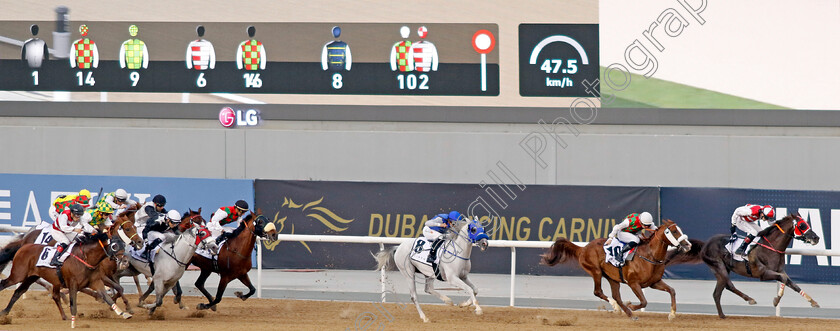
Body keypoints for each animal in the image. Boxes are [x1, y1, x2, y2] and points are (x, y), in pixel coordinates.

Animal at [0, 233, 130, 330]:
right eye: (114, 246)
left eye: (124, 244)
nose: (125, 261)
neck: (86, 258)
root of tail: (23, 247)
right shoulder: (72, 283)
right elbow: (73, 305)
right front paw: (73, 324)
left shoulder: (96, 282)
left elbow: (107, 298)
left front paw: (124, 313)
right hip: (18, 275)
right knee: (3, 284)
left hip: (31, 277)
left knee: (19, 291)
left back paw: (5, 311)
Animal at [540, 220, 692, 322]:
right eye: (674, 231)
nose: (688, 245)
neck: (650, 256)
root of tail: (582, 249)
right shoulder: (633, 283)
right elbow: (643, 301)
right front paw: (631, 305)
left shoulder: (654, 282)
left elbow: (672, 290)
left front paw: (672, 314)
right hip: (596, 271)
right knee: (598, 292)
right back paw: (618, 308)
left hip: (612, 278)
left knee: (616, 296)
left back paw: (628, 313)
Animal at [668, 213, 816, 320]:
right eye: (803, 225)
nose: (816, 237)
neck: (771, 247)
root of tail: (705, 244)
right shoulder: (764, 273)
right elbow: (784, 280)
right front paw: (775, 300)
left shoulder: (779, 271)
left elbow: (793, 284)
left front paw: (813, 301)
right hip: (718, 266)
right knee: (729, 285)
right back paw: (749, 299)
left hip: (721, 269)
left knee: (717, 293)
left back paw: (722, 315)